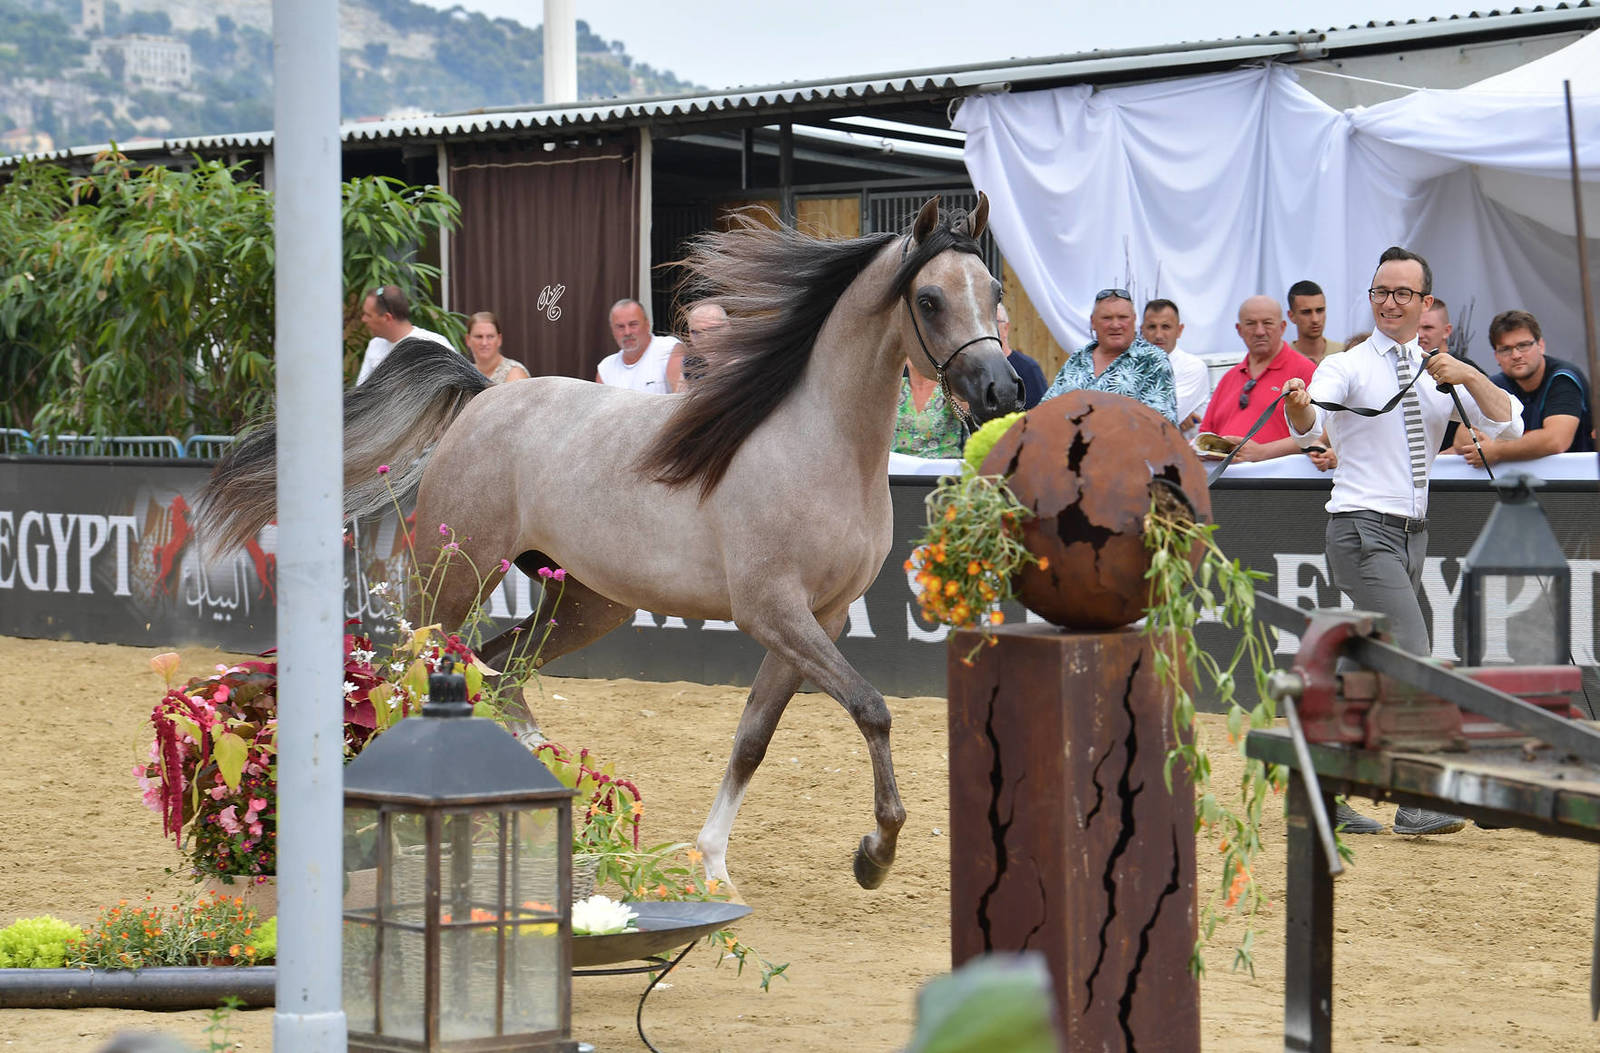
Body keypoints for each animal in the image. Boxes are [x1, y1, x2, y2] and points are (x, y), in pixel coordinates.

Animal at [201, 193, 1022, 890]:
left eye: (994, 291)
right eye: (929, 299)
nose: (1000, 391)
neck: (817, 445)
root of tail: (486, 394)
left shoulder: (820, 619)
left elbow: (754, 736)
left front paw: (715, 864)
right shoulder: (772, 611)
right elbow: (871, 707)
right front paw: (874, 856)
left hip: (588, 602)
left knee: (500, 672)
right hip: (457, 576)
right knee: (413, 663)